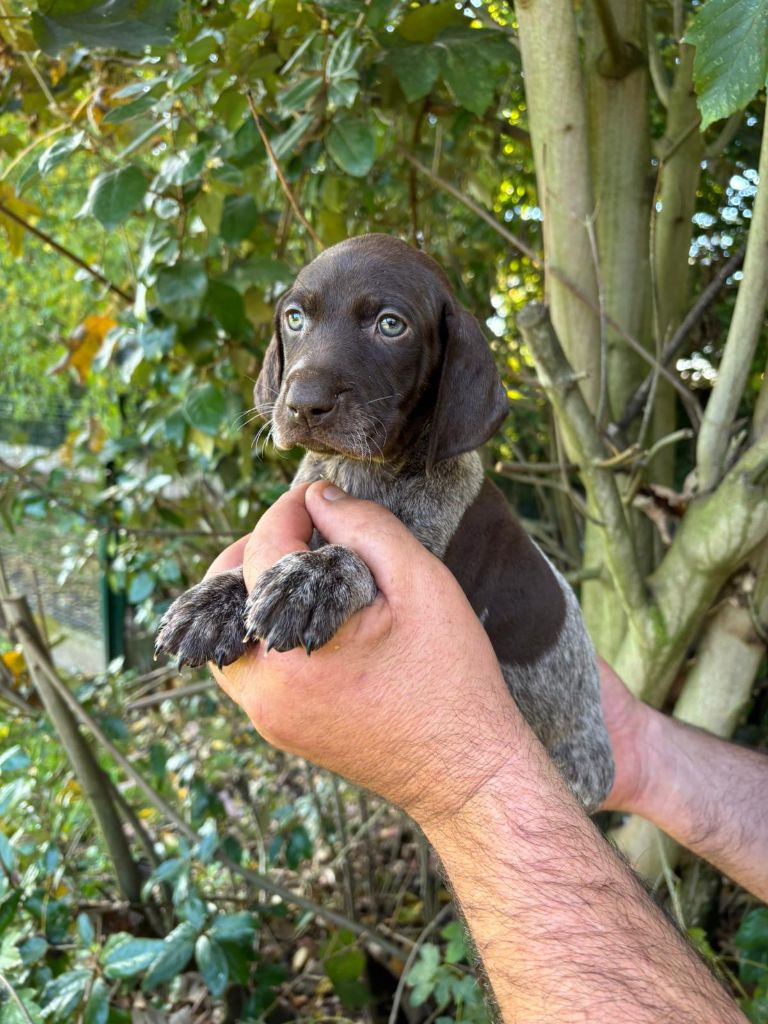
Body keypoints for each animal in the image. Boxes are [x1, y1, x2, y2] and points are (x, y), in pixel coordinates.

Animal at [154, 235, 614, 811]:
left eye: (391, 325)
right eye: (295, 318)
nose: (302, 404)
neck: (361, 474)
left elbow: (355, 555)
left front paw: (313, 577)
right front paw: (215, 598)